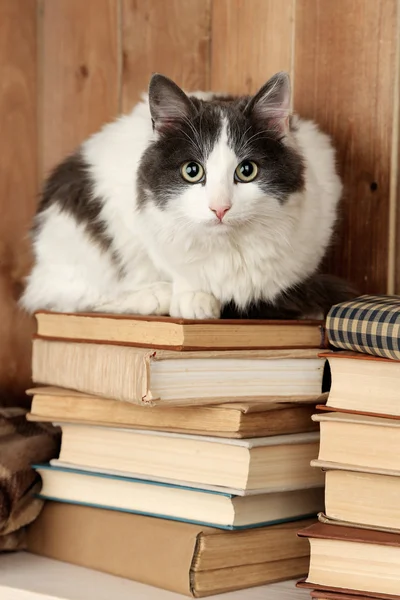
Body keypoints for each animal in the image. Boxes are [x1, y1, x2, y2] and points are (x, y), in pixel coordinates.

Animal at [21, 71, 346, 318]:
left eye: (247, 170)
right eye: (192, 171)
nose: (220, 208)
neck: (229, 251)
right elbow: (174, 266)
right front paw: (193, 298)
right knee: (69, 297)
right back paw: (156, 295)